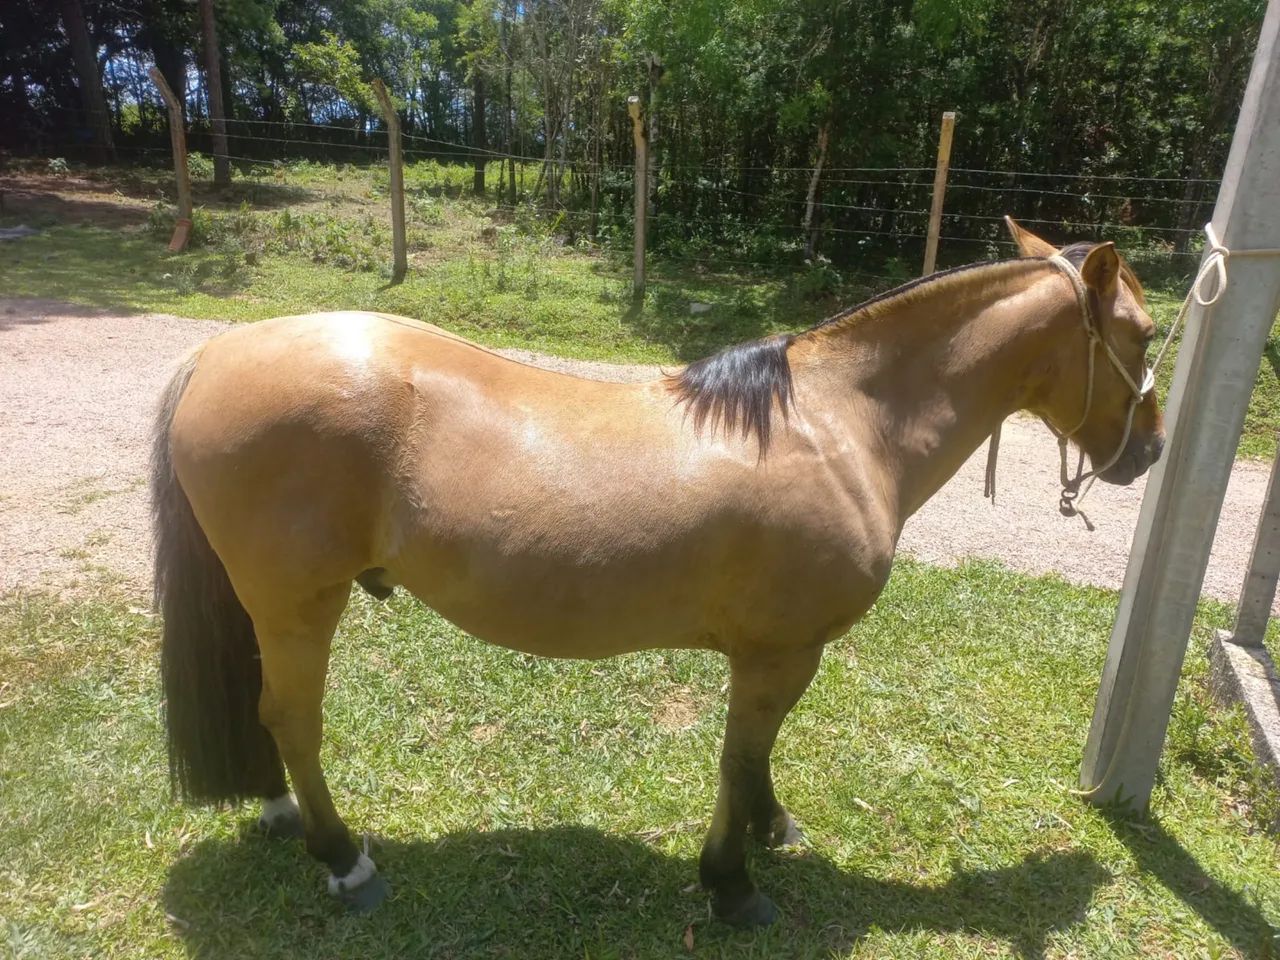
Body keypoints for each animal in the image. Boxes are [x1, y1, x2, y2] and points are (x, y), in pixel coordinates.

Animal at [151, 220, 1164, 925]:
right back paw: (344, 860)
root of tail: (219, 351)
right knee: (292, 718)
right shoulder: (780, 652)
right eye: (1147, 335)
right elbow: (739, 756)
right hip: (299, 603)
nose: (1149, 452)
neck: (840, 425)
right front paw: (732, 885)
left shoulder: (774, 653)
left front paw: (771, 829)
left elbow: (756, 757)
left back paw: (285, 816)